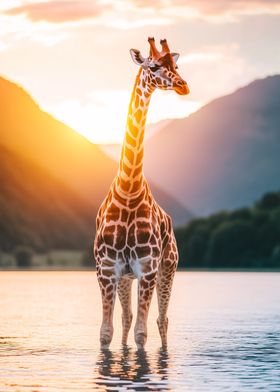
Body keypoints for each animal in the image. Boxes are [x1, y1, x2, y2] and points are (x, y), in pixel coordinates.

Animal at [94, 36, 190, 350]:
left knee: (162, 320)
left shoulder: (147, 268)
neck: (128, 190)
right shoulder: (107, 269)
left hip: (168, 268)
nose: (183, 85)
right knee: (127, 318)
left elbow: (142, 334)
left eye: (177, 66)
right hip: (127, 278)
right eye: (154, 66)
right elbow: (106, 333)